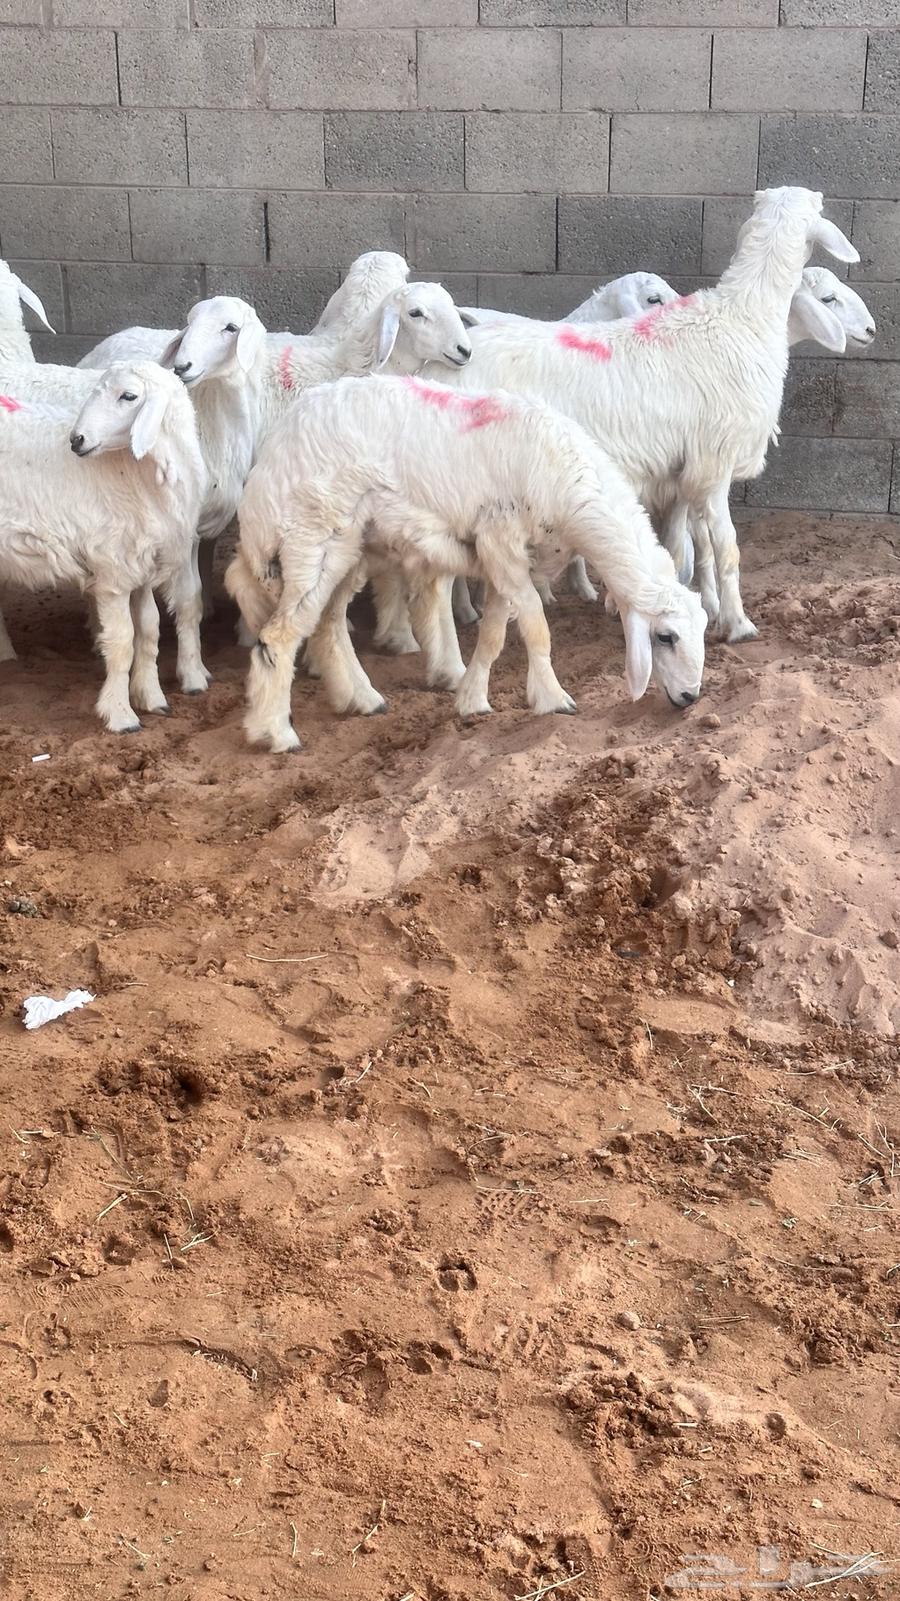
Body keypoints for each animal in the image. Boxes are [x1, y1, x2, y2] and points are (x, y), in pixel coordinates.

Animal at [0, 362, 207, 732]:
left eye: (129, 396)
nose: (76, 440)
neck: (137, 473)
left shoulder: (142, 565)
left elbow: (149, 631)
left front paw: (151, 698)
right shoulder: (114, 571)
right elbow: (123, 642)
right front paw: (121, 715)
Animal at [224, 372, 707, 754]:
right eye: (665, 637)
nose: (690, 697)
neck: (570, 489)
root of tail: (272, 452)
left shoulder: (503, 561)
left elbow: (494, 634)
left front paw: (473, 700)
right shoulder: (502, 542)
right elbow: (536, 627)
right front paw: (553, 698)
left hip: (352, 548)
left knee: (327, 625)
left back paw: (362, 699)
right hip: (310, 538)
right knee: (279, 638)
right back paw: (276, 733)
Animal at [421, 187, 858, 645]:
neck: (745, 318)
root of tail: (433, 367)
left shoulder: (682, 472)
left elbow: (685, 548)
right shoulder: (714, 461)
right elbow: (727, 546)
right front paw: (739, 625)